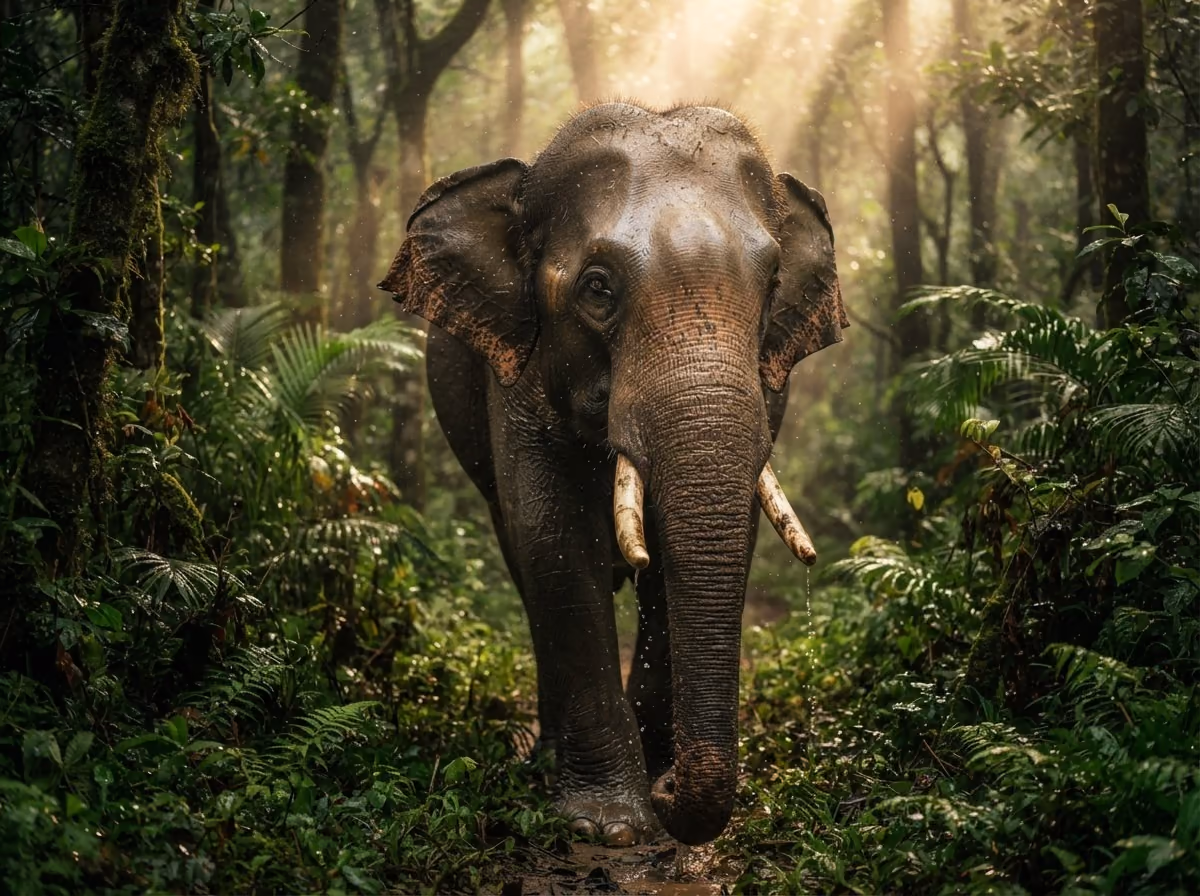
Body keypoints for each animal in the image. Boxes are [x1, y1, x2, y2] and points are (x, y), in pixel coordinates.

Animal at [379, 101, 847, 847]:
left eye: (773, 286)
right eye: (597, 289)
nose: (669, 789)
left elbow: (718, 538)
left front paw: (657, 775)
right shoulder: (517, 373)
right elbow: (555, 538)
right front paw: (610, 826)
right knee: (523, 560)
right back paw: (544, 759)